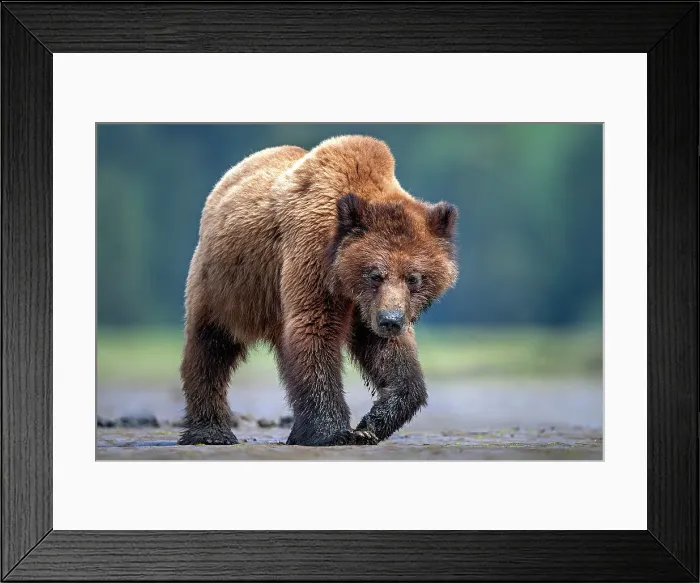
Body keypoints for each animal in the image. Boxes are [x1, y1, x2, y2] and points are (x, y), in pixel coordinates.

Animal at [178, 135, 458, 447]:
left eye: (414, 278)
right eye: (374, 274)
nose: (391, 320)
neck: (346, 282)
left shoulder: (368, 309)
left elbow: (391, 356)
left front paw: (370, 425)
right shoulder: (313, 259)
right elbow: (315, 331)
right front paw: (336, 432)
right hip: (227, 283)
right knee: (210, 345)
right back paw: (211, 432)